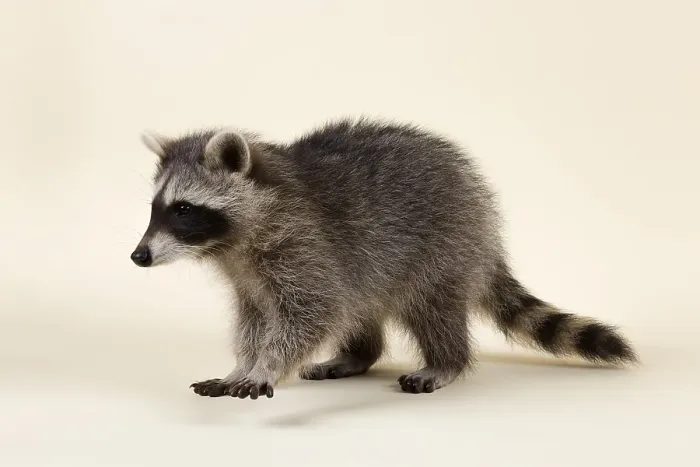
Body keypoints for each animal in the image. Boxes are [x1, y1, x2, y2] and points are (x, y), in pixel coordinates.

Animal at [131, 118, 637, 399]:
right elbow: (254, 322)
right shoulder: (248, 277)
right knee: (360, 307)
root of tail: (483, 212)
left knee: (433, 309)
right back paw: (358, 355)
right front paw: (241, 363)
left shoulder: (303, 247)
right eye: (155, 207)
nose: (138, 256)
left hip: (444, 246)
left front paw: (266, 366)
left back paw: (445, 362)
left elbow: (313, 314)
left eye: (184, 209)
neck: (233, 244)